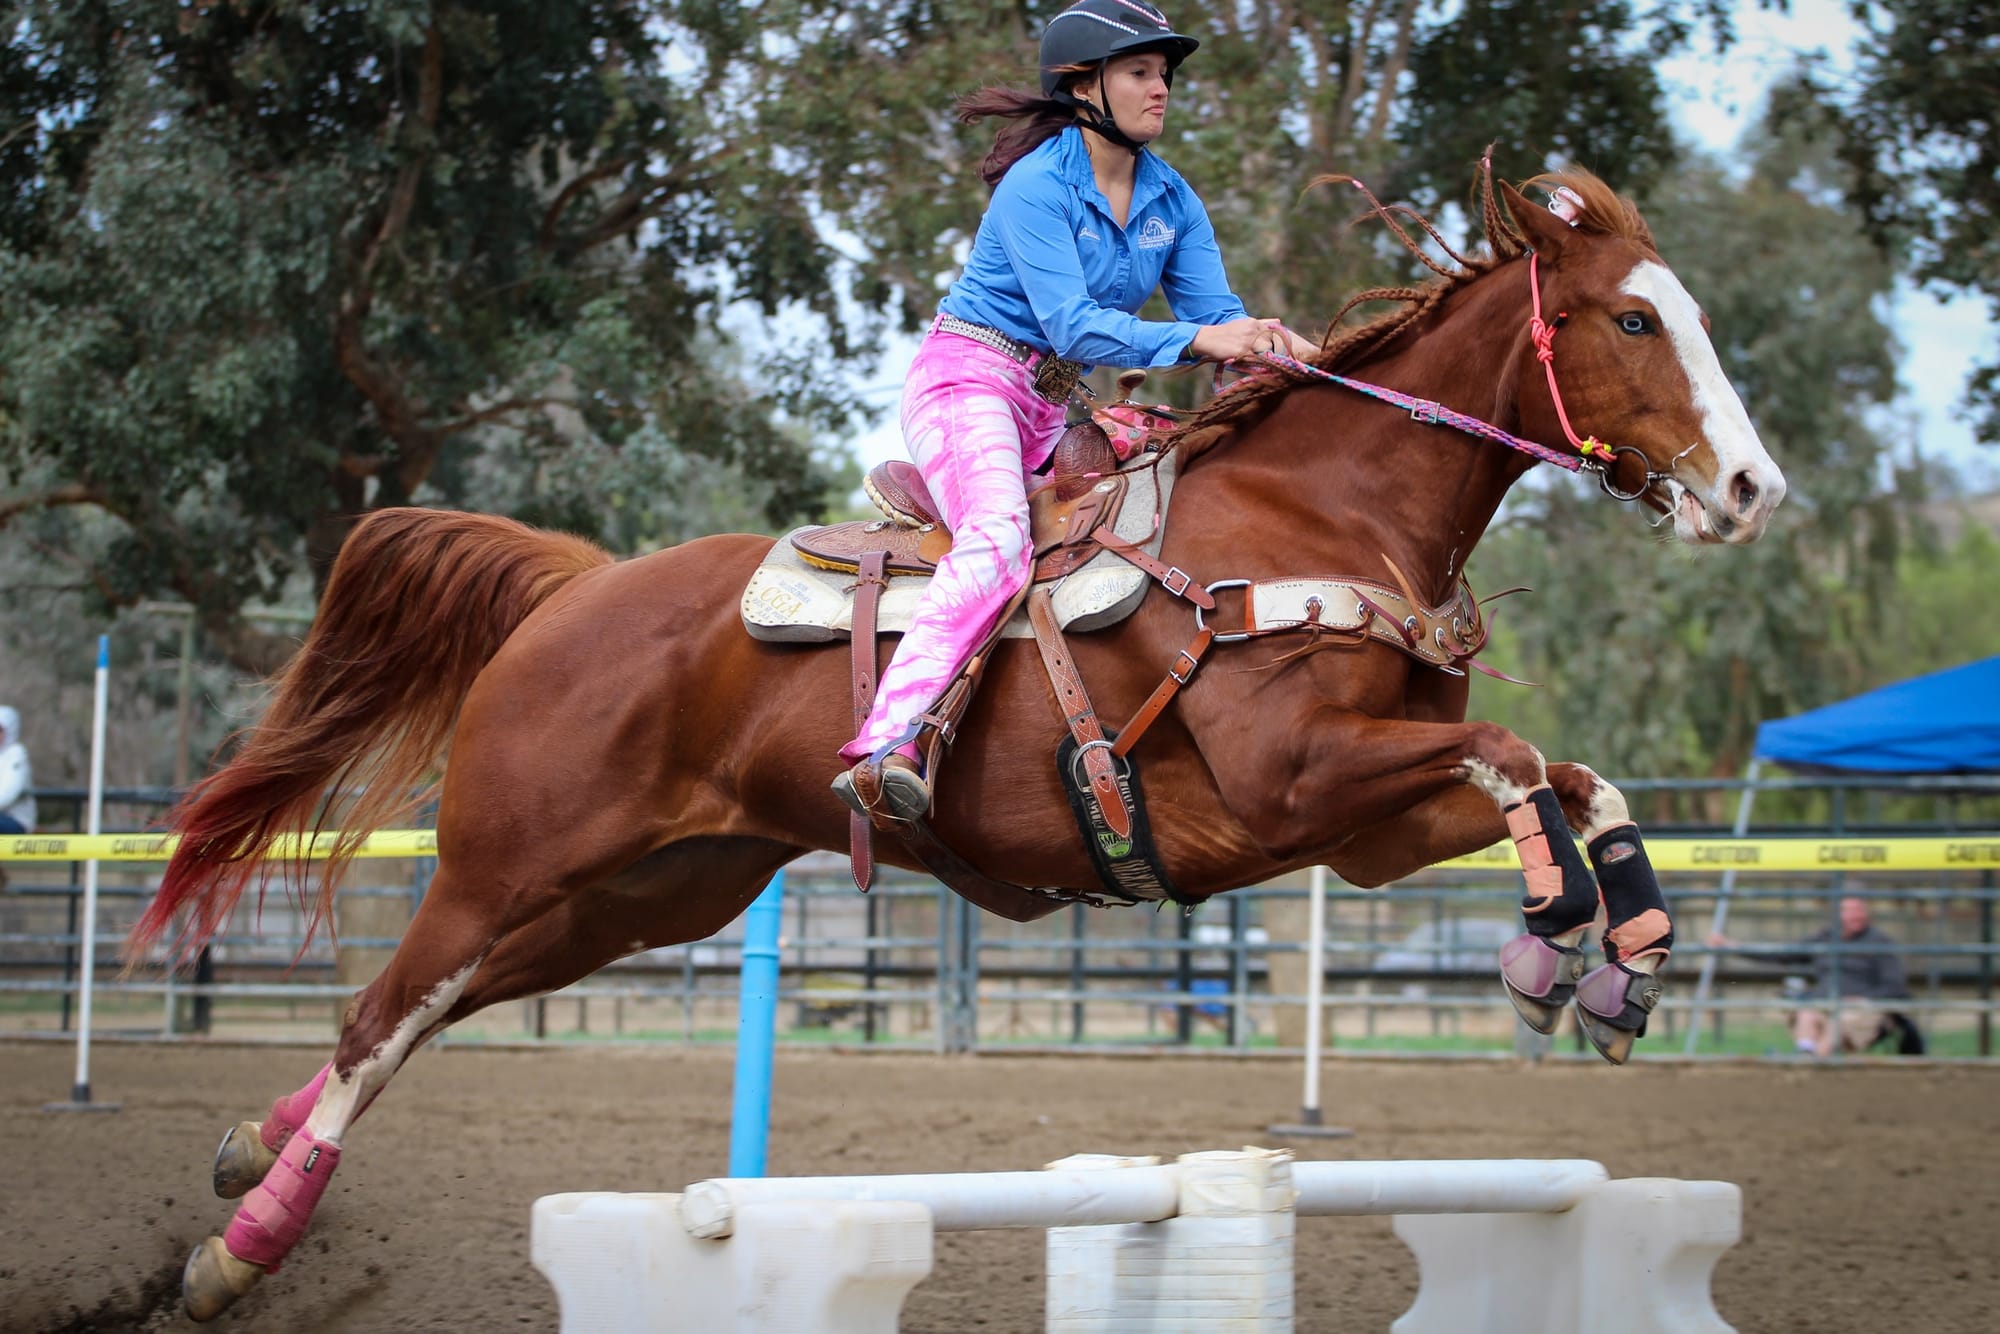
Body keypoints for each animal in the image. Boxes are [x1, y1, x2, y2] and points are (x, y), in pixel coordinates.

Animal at [133, 164, 1784, 1312]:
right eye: (1635, 316)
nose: (1754, 489)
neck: (1317, 515)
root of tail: (576, 585)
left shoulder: (1366, 832)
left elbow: (1573, 773)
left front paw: (1626, 961)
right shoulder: (1294, 785)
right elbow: (1513, 755)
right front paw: (1554, 940)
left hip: (640, 894)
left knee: (428, 1012)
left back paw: (242, 1151)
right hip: (506, 861)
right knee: (379, 1018)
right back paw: (231, 1252)